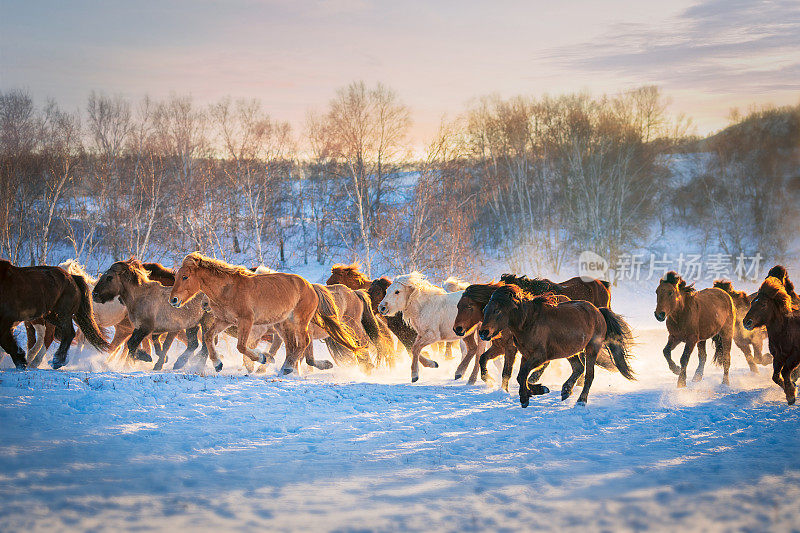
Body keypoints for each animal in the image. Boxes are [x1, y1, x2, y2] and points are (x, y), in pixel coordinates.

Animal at [172, 252, 366, 374]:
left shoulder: (247, 321)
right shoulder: (224, 320)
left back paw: (287, 367)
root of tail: (310, 286)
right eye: (176, 276)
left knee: (303, 343)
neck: (229, 289)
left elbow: (242, 346)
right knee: (296, 346)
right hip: (286, 325)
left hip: (299, 322)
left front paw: (262, 358)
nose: (173, 300)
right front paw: (218, 363)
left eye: (185, 277)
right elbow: (208, 337)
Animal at [478, 284, 636, 406]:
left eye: (497, 310)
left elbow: (522, 375)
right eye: (485, 310)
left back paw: (581, 401)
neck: (529, 322)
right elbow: (520, 376)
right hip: (570, 351)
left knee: (589, 375)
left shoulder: (540, 356)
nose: (483, 333)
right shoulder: (526, 355)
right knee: (578, 368)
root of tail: (598, 311)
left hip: (591, 349)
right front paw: (539, 390)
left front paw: (525, 398)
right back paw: (566, 390)